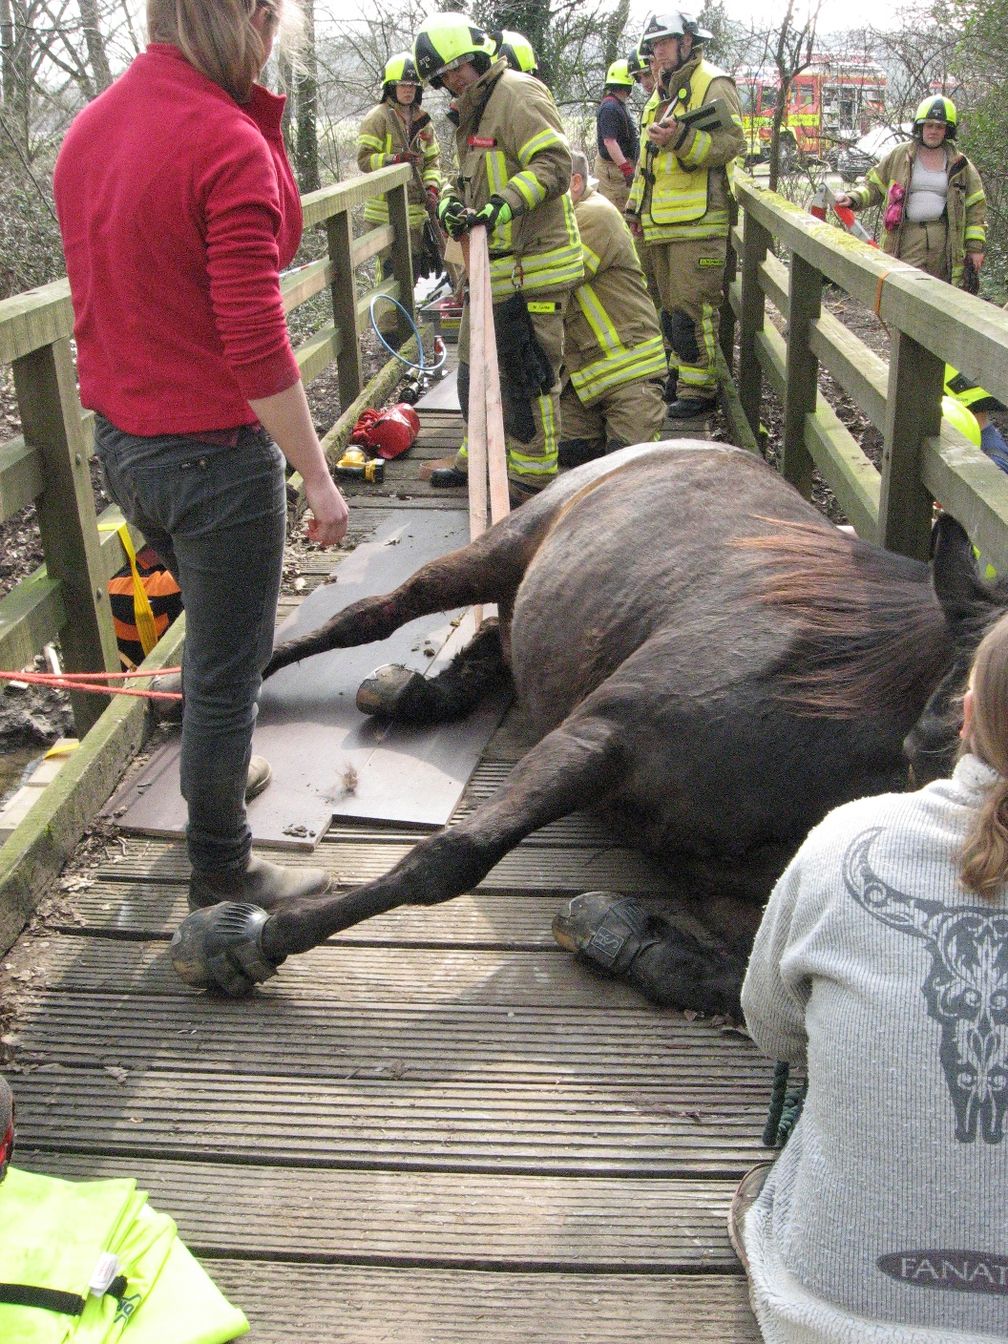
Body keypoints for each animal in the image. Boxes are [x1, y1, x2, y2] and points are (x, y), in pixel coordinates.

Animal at [170, 446, 1008, 1010]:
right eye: (921, 756)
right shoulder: (600, 738)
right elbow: (449, 861)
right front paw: (240, 942)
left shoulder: (745, 891)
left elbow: (747, 983)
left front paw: (628, 939)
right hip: (499, 551)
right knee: (378, 613)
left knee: (500, 644)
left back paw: (414, 695)